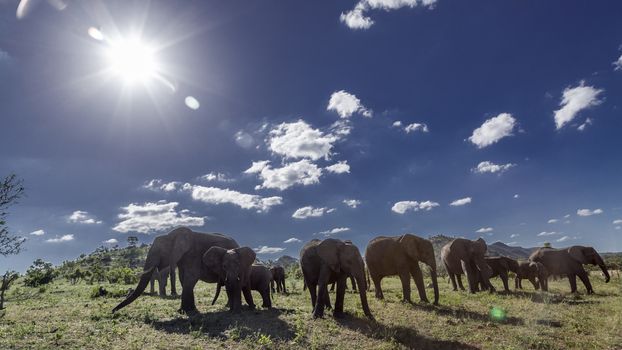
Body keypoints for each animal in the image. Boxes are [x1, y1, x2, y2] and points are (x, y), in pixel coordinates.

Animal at [114, 227, 244, 314]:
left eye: (159, 251)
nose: (113, 311)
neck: (170, 235)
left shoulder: (193, 254)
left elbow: (191, 278)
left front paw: (184, 311)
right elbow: (183, 278)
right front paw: (188, 311)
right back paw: (228, 306)